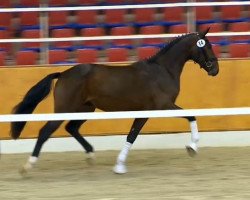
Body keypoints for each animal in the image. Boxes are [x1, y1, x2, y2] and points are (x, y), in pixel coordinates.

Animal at [10, 28, 219, 175]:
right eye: (207, 46)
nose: (215, 69)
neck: (162, 71)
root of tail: (63, 74)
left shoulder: (146, 111)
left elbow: (131, 136)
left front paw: (119, 166)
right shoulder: (161, 106)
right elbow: (189, 116)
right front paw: (192, 148)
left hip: (85, 109)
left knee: (72, 128)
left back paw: (91, 155)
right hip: (65, 109)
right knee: (45, 132)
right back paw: (27, 166)